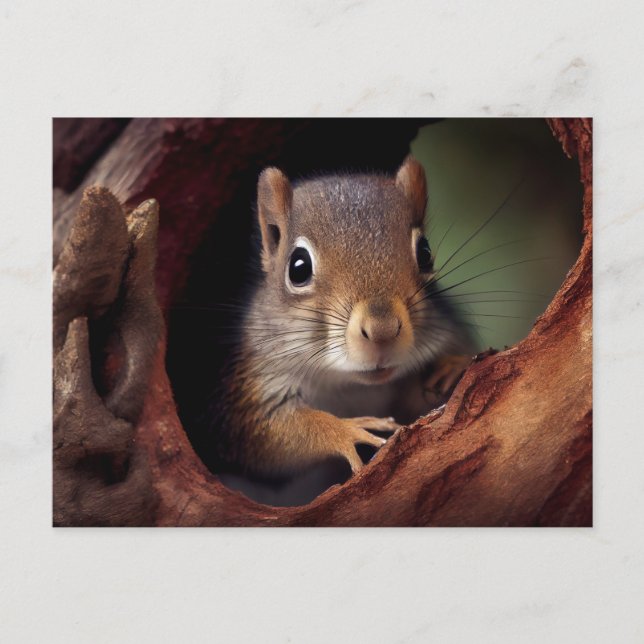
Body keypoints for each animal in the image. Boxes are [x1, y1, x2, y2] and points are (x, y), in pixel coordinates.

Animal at [209, 156, 472, 479]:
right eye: (298, 267)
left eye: (425, 252)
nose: (382, 330)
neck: (350, 384)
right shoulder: (253, 380)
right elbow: (271, 432)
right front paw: (346, 431)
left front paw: (451, 365)